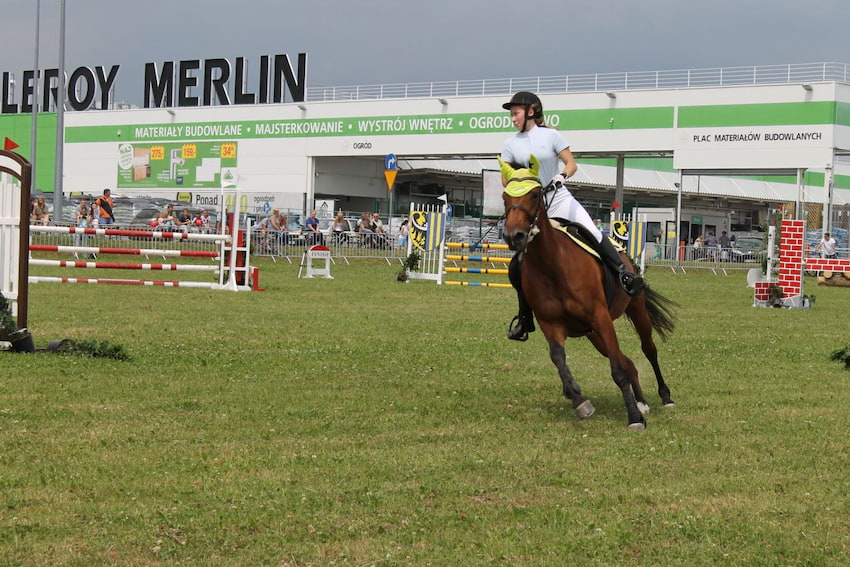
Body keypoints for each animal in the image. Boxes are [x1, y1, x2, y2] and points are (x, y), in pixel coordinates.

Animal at [496, 156, 676, 430]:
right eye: (505, 196)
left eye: (535, 194)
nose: (513, 236)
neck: (552, 265)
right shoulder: (551, 324)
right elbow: (559, 359)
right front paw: (579, 400)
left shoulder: (600, 317)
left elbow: (617, 371)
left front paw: (634, 418)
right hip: (594, 334)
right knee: (628, 362)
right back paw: (641, 402)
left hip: (633, 311)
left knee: (648, 349)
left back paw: (664, 397)